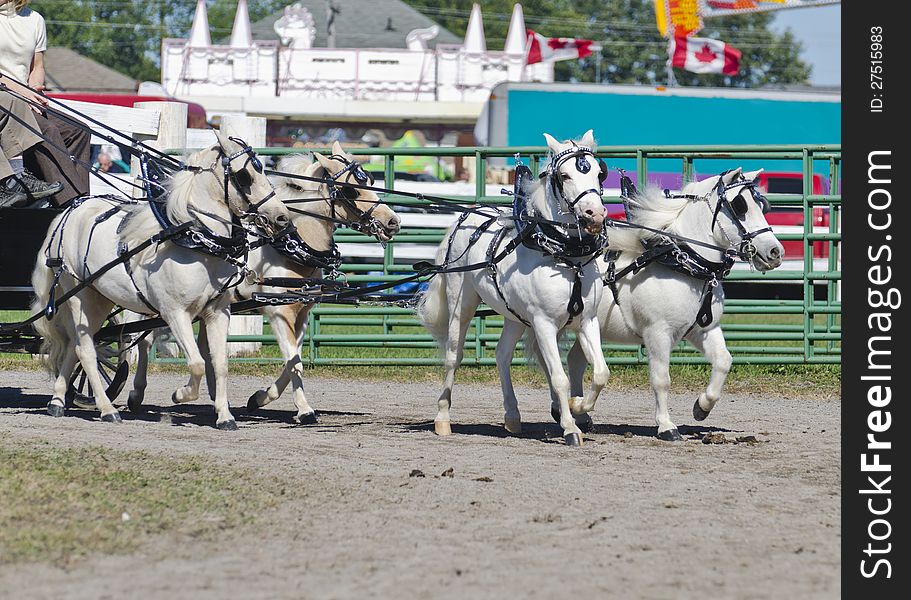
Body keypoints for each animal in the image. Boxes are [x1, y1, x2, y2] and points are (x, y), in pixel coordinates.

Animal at [422, 131, 612, 446]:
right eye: (564, 175)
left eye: (599, 173)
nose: (594, 214)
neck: (566, 257)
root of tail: (466, 216)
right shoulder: (544, 323)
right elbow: (559, 377)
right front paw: (570, 428)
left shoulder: (587, 321)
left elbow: (600, 373)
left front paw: (577, 407)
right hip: (461, 303)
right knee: (453, 356)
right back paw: (443, 418)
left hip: (514, 316)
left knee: (502, 354)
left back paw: (512, 416)